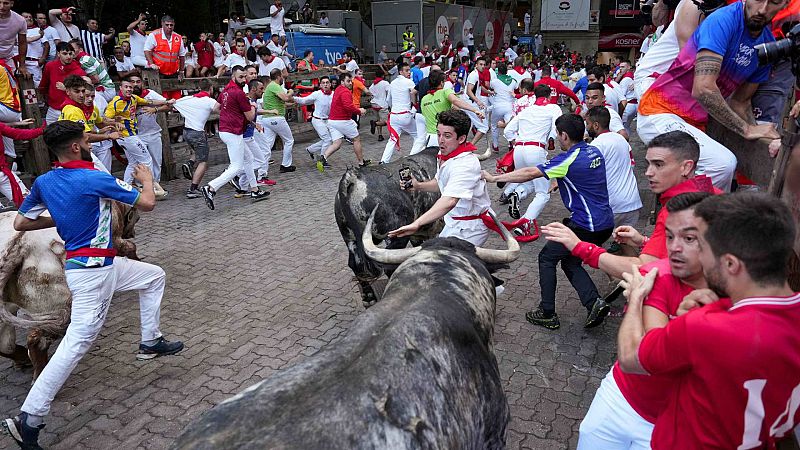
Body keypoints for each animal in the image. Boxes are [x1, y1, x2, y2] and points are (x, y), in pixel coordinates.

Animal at [0, 204, 141, 380]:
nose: (133, 232)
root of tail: (20, 245)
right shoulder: (114, 239)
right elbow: (129, 247)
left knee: (6, 345)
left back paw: (24, 360)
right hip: (56, 304)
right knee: (37, 338)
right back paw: (40, 371)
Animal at [334, 148, 440, 306]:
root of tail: (353, 176)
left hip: (349, 238)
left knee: (355, 264)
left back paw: (368, 297)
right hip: (395, 236)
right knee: (388, 265)